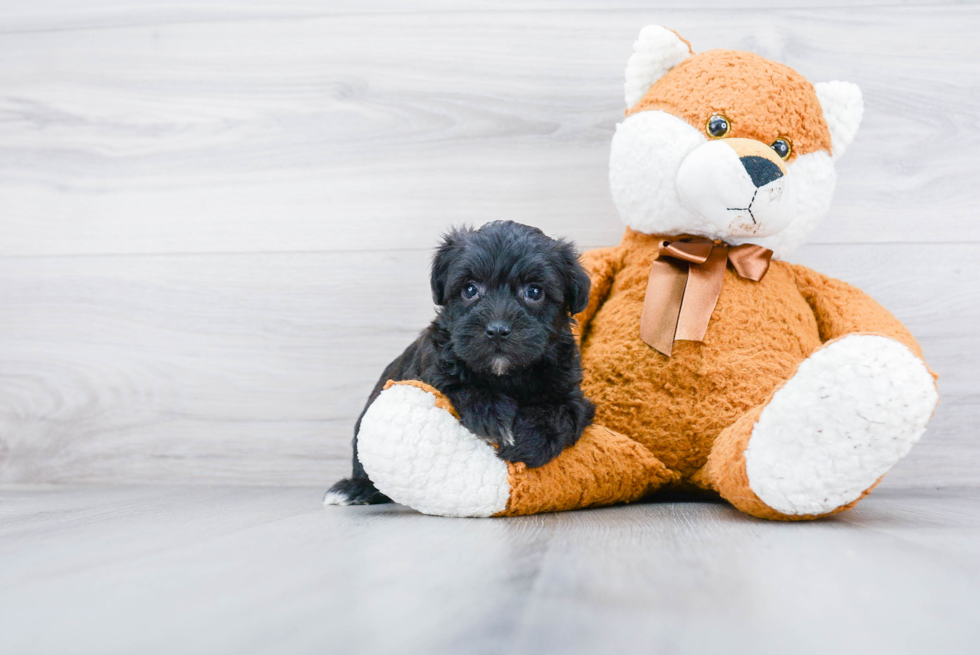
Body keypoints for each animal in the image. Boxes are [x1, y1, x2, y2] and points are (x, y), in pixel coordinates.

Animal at [326, 222, 592, 508]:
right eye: (470, 290)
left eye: (534, 291)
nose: (497, 330)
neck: (506, 375)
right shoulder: (434, 370)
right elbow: (461, 386)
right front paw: (492, 414)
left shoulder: (571, 392)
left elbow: (560, 411)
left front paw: (529, 440)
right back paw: (356, 489)